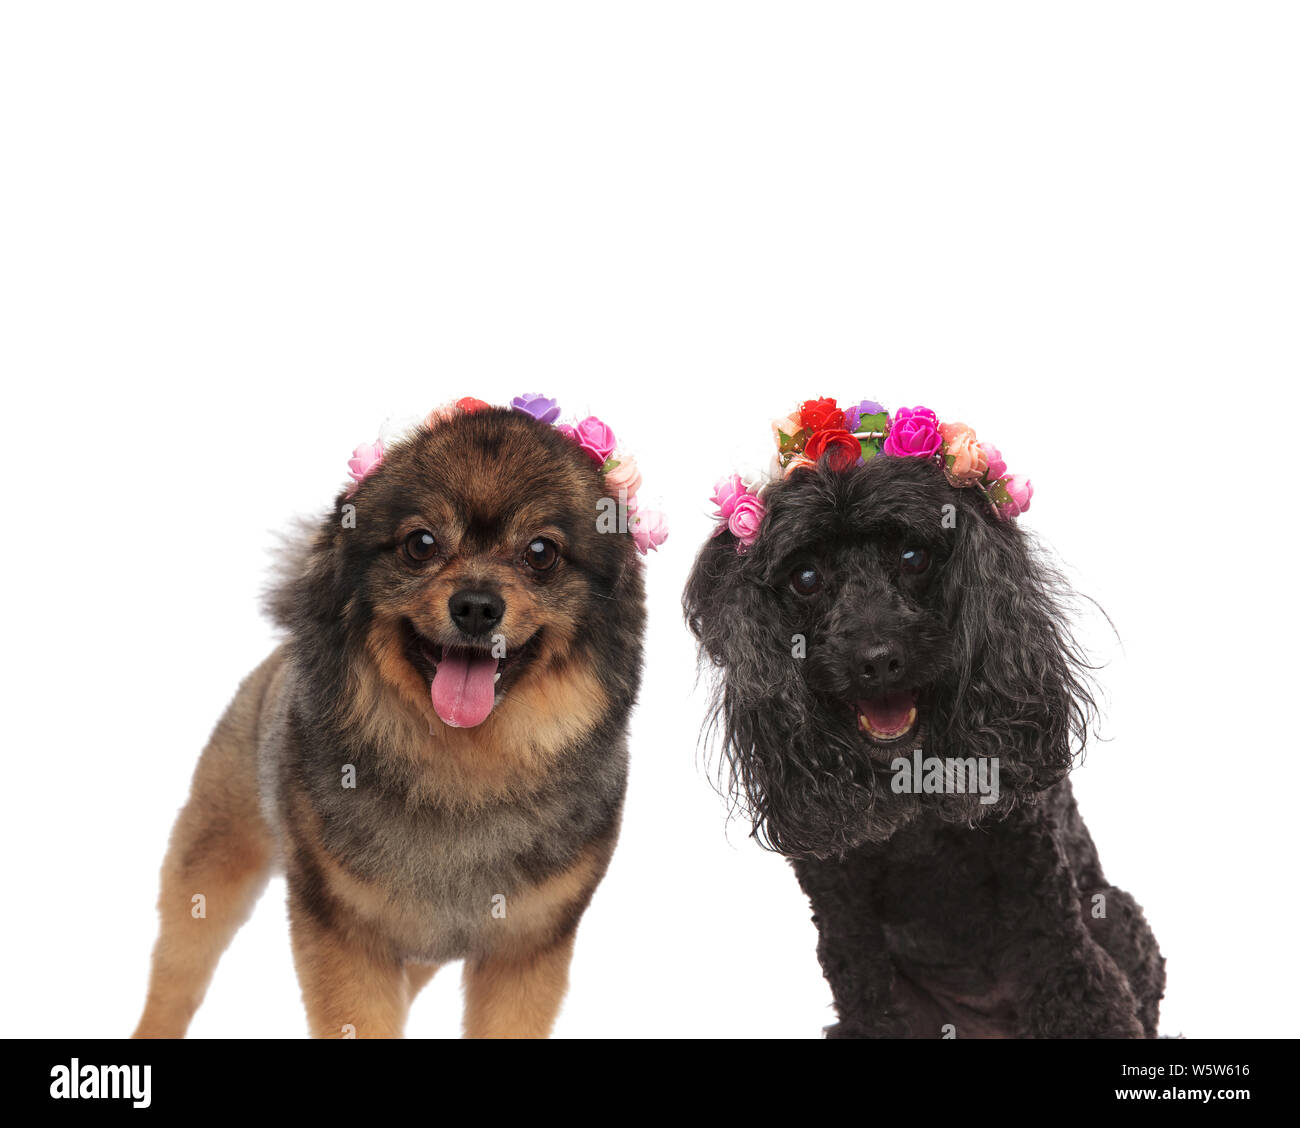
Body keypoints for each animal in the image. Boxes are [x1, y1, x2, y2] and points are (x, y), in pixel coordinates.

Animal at [133, 405, 650, 1039]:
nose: (476, 605)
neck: (465, 772)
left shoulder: (526, 947)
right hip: (213, 856)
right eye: (420, 544)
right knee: (176, 976)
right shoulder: (345, 934)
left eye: (540, 552)